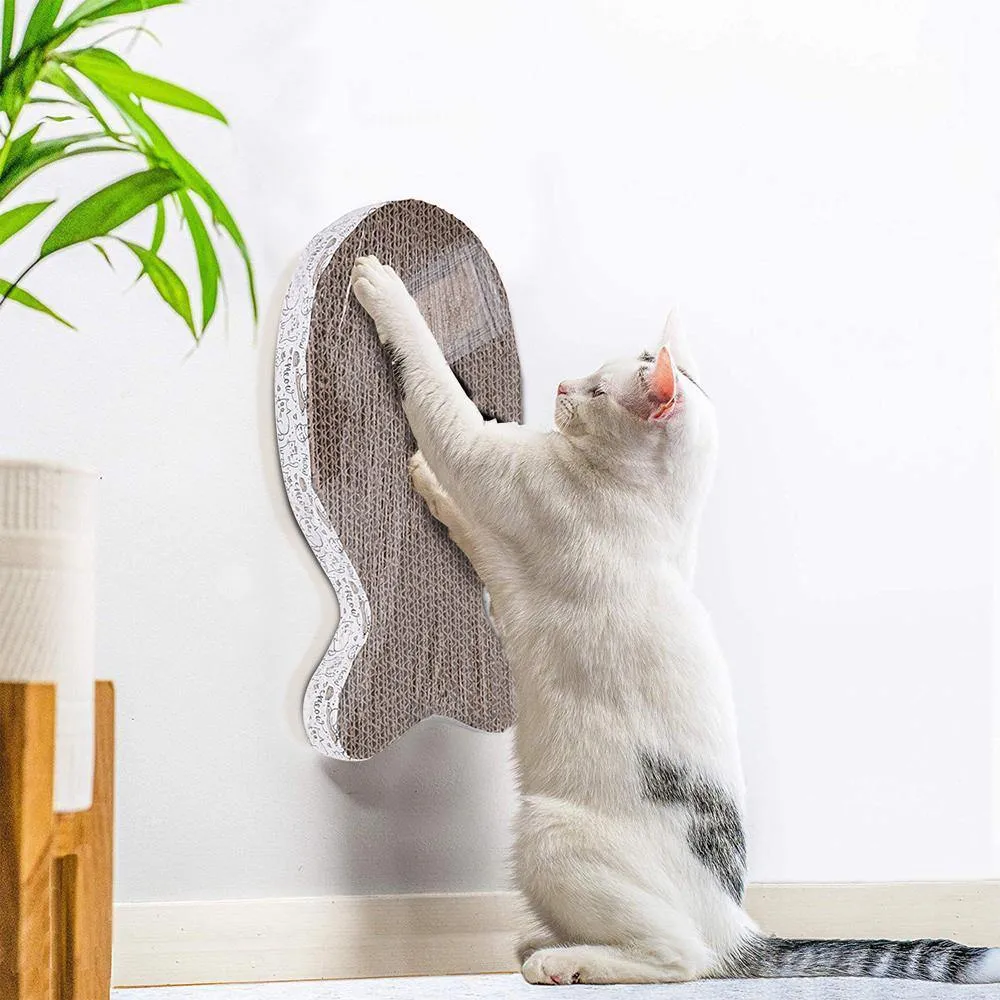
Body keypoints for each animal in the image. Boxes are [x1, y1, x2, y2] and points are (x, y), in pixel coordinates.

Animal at [348, 256, 996, 984]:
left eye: (599, 390)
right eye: (590, 373)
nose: (563, 384)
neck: (660, 509)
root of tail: (738, 924)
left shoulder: (493, 463)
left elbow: (439, 396)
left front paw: (382, 285)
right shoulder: (502, 549)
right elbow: (466, 519)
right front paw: (426, 481)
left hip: (549, 833)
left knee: (681, 958)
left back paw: (563, 961)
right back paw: (544, 942)